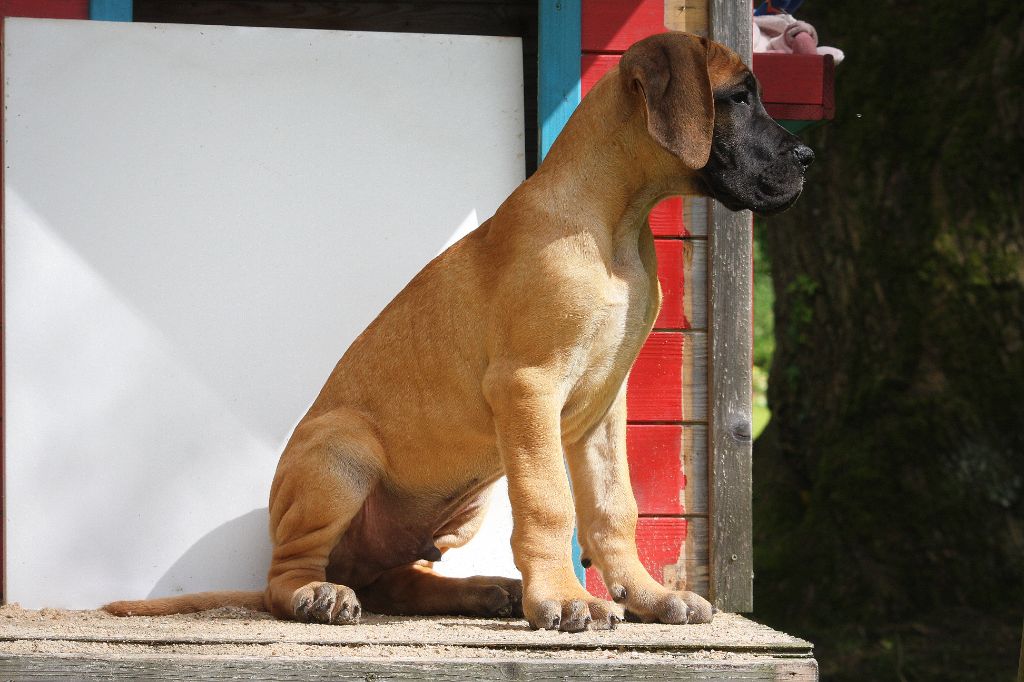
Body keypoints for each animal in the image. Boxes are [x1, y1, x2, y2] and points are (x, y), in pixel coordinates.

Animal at [104, 31, 812, 632]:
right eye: (739, 97)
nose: (807, 156)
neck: (617, 224)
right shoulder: (528, 388)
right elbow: (550, 501)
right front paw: (564, 598)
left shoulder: (605, 408)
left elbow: (615, 507)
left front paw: (647, 596)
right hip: (341, 454)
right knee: (288, 574)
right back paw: (318, 595)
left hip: (463, 501)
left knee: (396, 579)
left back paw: (480, 590)